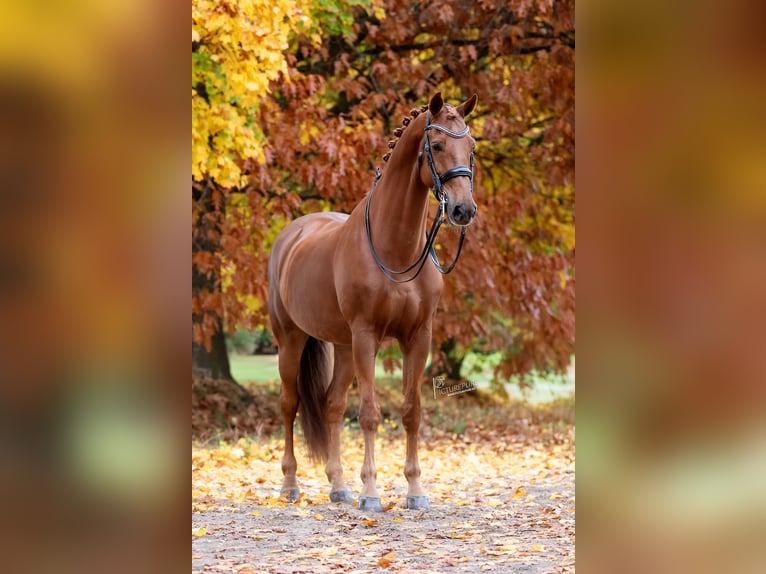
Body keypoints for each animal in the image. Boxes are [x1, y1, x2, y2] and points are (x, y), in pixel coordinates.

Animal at [268, 92, 478, 511]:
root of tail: (291, 234)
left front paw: (415, 491)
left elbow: (411, 412)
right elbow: (369, 414)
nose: (463, 210)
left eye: (472, 146)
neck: (393, 249)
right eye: (436, 145)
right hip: (292, 340)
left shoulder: (418, 337)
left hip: (343, 346)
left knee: (331, 405)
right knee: (289, 403)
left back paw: (338, 486)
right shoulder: (367, 336)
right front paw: (370, 494)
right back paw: (290, 485)